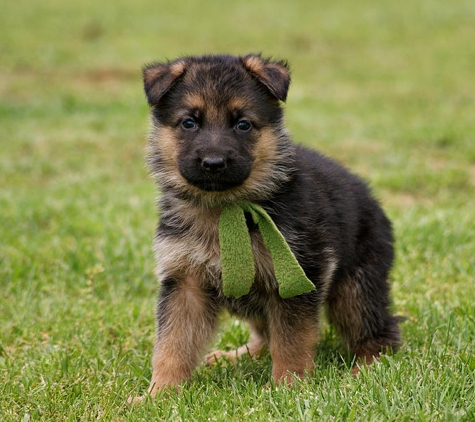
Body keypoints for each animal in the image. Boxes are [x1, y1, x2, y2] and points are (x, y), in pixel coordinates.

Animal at [140, 54, 402, 398]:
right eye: (189, 123)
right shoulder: (185, 283)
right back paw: (236, 355)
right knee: (264, 335)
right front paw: (158, 394)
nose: (213, 163)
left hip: (356, 288)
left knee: (379, 332)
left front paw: (287, 387)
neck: (226, 209)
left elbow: (291, 340)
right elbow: (172, 345)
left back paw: (365, 369)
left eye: (243, 124)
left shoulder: (295, 277)